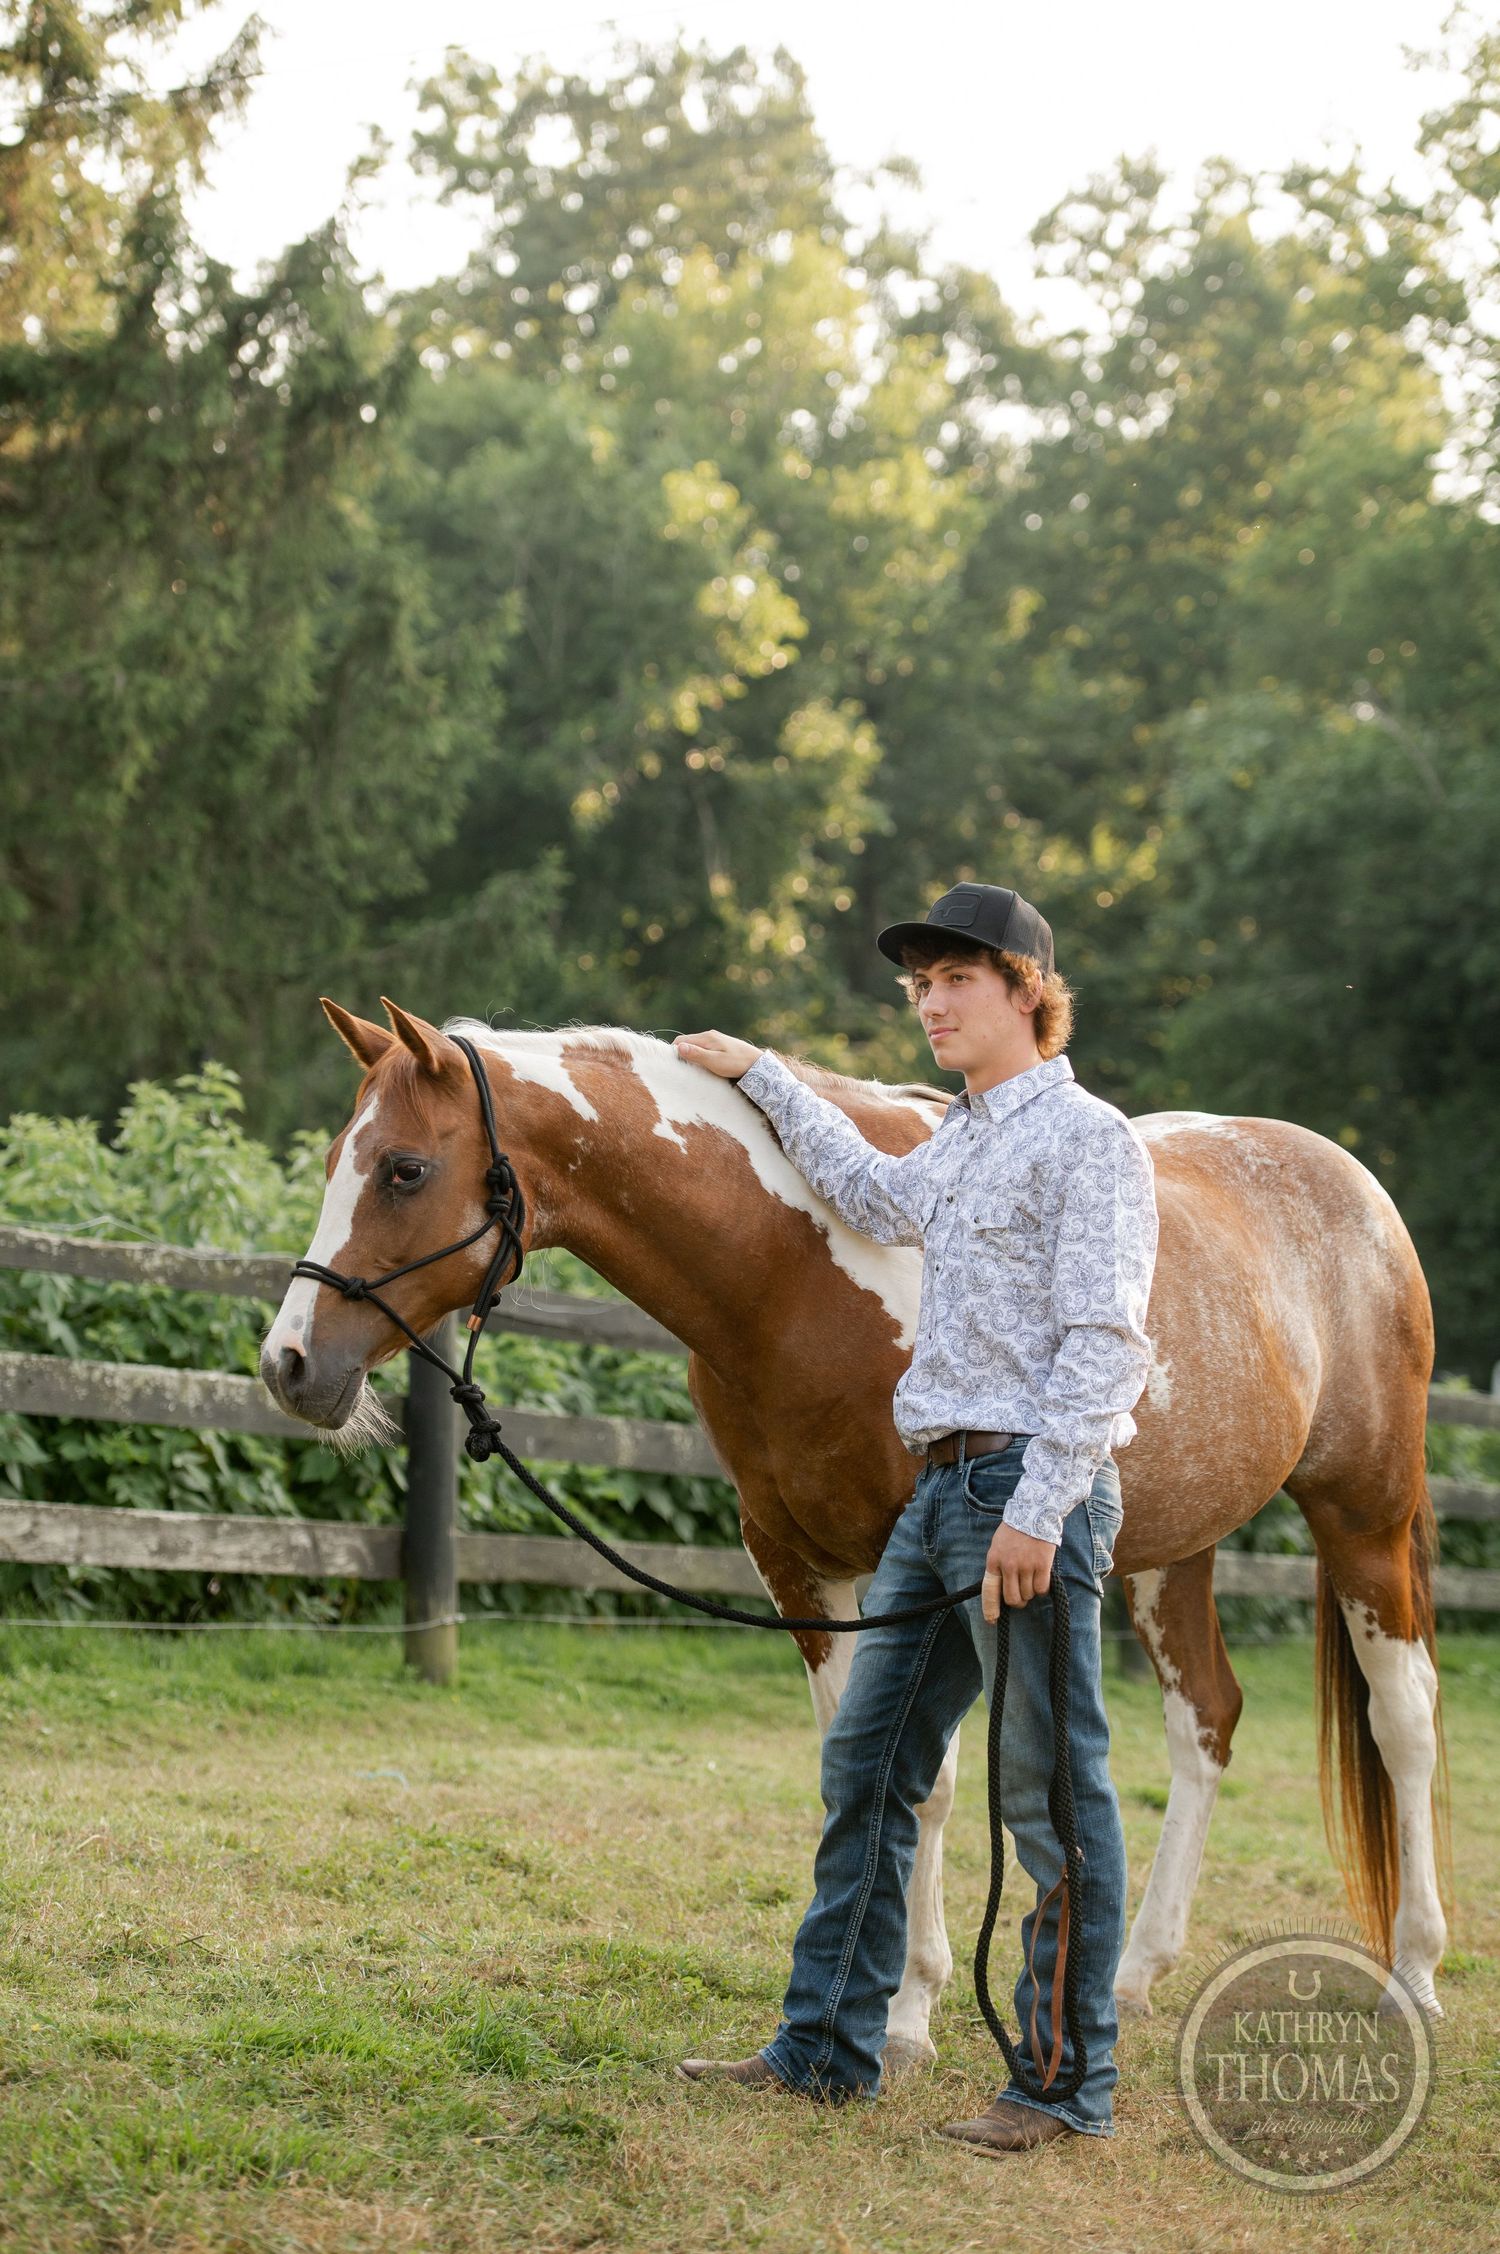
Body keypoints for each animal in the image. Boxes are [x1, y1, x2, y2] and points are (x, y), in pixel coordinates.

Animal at [261, 995, 1448, 2060]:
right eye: (336, 1159)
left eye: (404, 1169)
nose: (289, 1365)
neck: (795, 1269)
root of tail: (1357, 1190)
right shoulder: (797, 1567)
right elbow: (856, 1766)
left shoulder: (916, 1569)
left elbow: (931, 1783)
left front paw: (911, 2015)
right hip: (1171, 1551)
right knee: (1205, 1718)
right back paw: (1133, 1971)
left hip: (1363, 1514)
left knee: (1404, 1716)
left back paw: (1414, 1976)